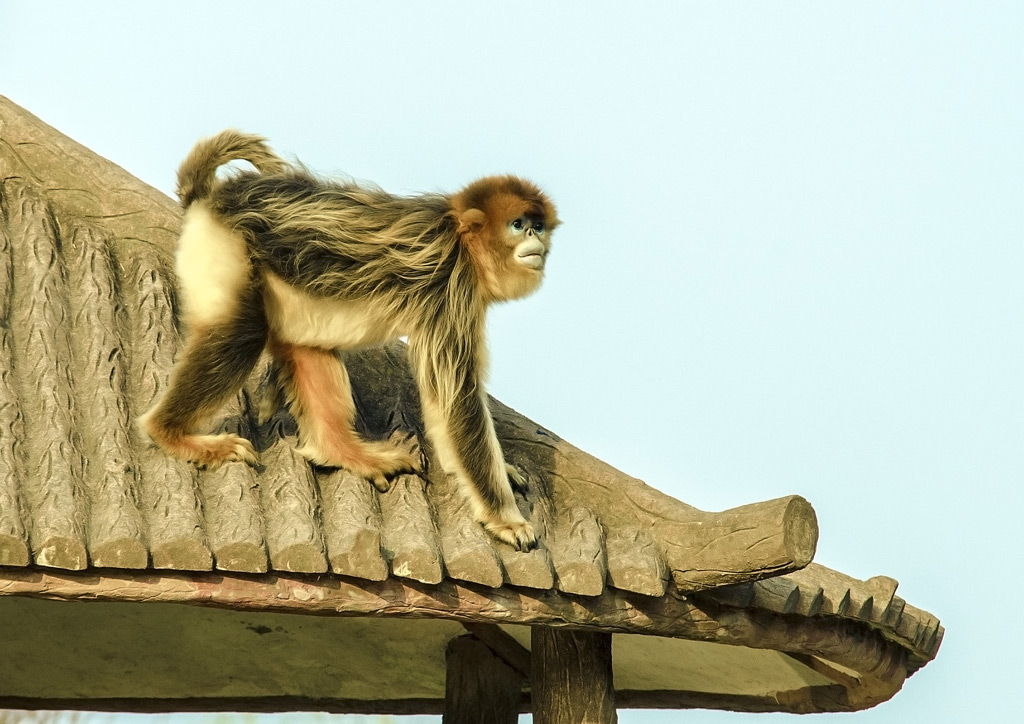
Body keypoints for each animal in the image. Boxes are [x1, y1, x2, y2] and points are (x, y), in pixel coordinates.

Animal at [139, 130, 557, 548]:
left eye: (538, 225)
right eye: (518, 224)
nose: (534, 238)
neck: (460, 239)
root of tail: (212, 196)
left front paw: (502, 473)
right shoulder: (451, 290)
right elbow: (455, 403)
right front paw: (505, 519)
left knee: (306, 344)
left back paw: (342, 452)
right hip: (224, 246)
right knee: (240, 334)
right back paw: (171, 434)